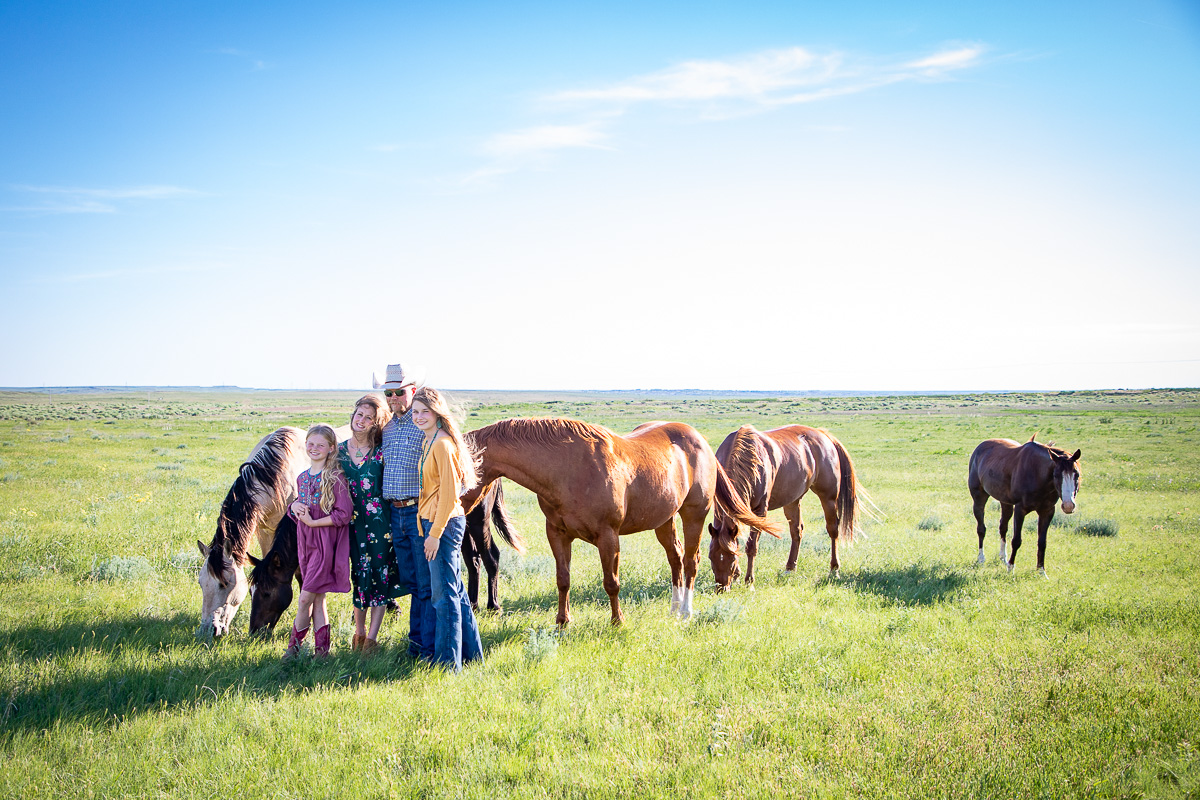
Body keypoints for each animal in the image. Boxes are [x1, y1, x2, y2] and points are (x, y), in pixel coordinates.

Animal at [246, 479, 523, 633]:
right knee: (472, 561)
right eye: (251, 592)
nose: (254, 631)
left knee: (491, 557)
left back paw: (493, 605)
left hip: (478, 521)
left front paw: (387, 608)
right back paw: (474, 604)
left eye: (266, 593)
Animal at [456, 419, 777, 623]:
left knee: (690, 562)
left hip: (694, 515)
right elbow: (563, 579)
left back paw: (686, 612)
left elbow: (611, 582)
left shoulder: (608, 536)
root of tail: (701, 443)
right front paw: (562, 622)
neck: (567, 468)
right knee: (675, 559)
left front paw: (617, 621)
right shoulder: (557, 534)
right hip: (664, 520)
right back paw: (674, 609)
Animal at [705, 424, 868, 587]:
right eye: (711, 557)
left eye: (732, 559)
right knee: (797, 531)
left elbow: (751, 546)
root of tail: (823, 434)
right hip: (792, 501)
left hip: (829, 498)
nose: (721, 587)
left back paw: (834, 569)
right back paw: (790, 568)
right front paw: (738, 576)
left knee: (833, 530)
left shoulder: (759, 511)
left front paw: (749, 580)